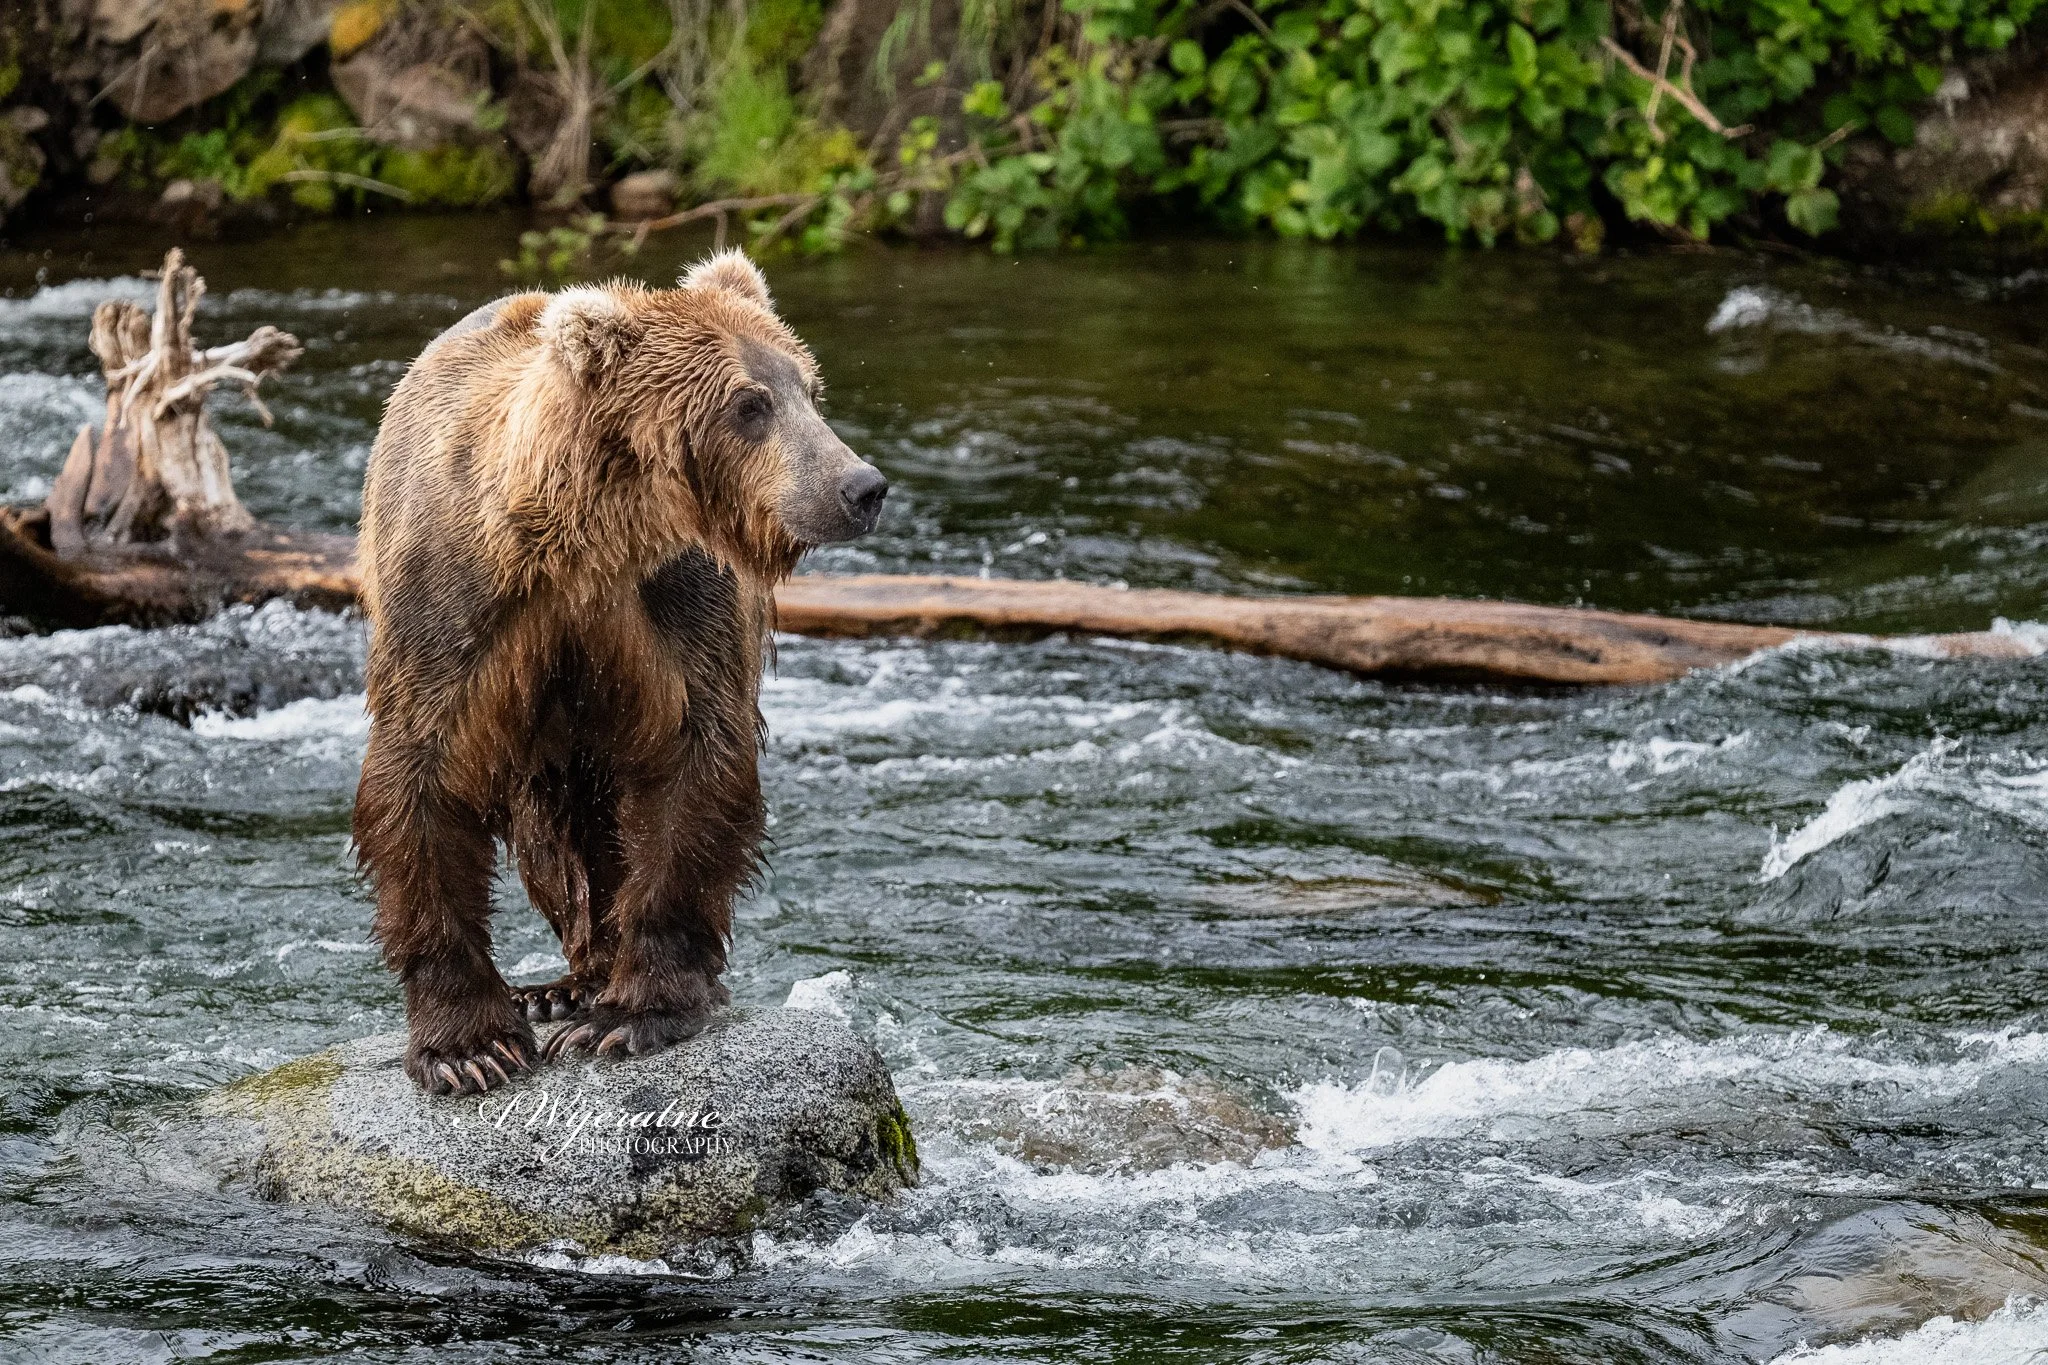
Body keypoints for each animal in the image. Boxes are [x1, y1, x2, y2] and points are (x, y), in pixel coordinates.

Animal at [352, 250, 887, 1096]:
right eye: (749, 402)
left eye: (810, 387)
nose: (860, 486)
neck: (587, 539)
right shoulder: (455, 606)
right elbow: (420, 782)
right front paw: (469, 1046)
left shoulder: (675, 606)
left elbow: (694, 767)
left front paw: (632, 1014)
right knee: (554, 832)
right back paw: (555, 987)